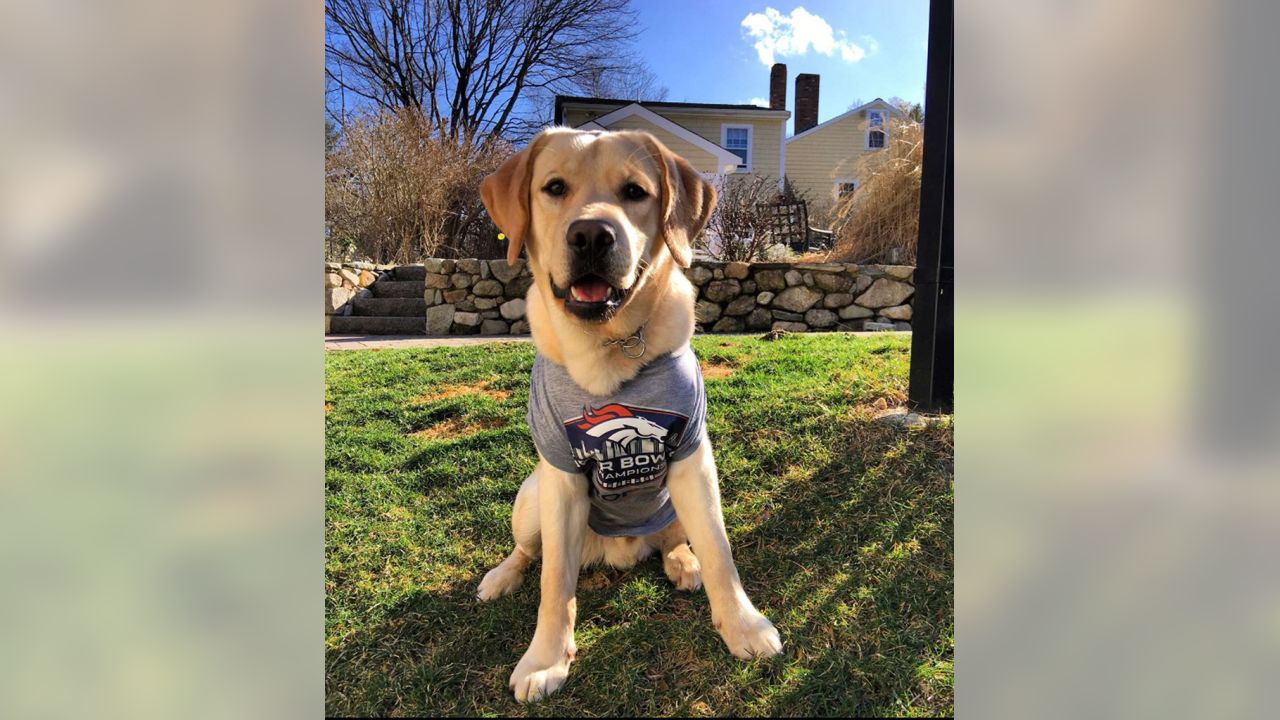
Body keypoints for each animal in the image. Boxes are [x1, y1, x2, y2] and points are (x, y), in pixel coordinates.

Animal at [478, 126, 778, 696]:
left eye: (635, 192)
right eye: (554, 187)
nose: (592, 236)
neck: (609, 344)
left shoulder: (693, 458)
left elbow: (720, 552)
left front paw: (743, 625)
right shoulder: (560, 477)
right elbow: (554, 584)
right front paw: (545, 659)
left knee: (677, 541)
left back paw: (683, 562)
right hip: (531, 498)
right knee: (530, 554)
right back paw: (501, 576)